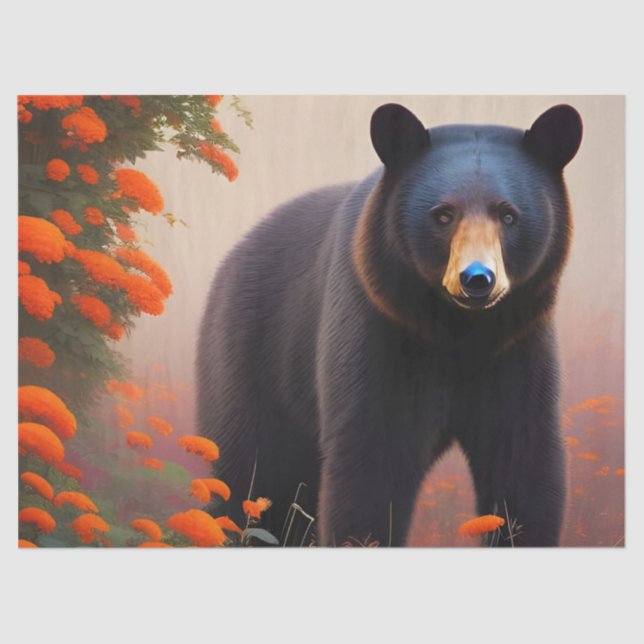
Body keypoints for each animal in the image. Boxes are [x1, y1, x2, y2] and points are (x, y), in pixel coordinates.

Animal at [196, 102, 583, 547]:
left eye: (508, 215)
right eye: (443, 215)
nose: (477, 279)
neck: (460, 332)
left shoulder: (518, 342)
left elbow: (522, 456)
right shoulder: (375, 324)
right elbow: (372, 458)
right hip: (249, 355)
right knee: (250, 473)